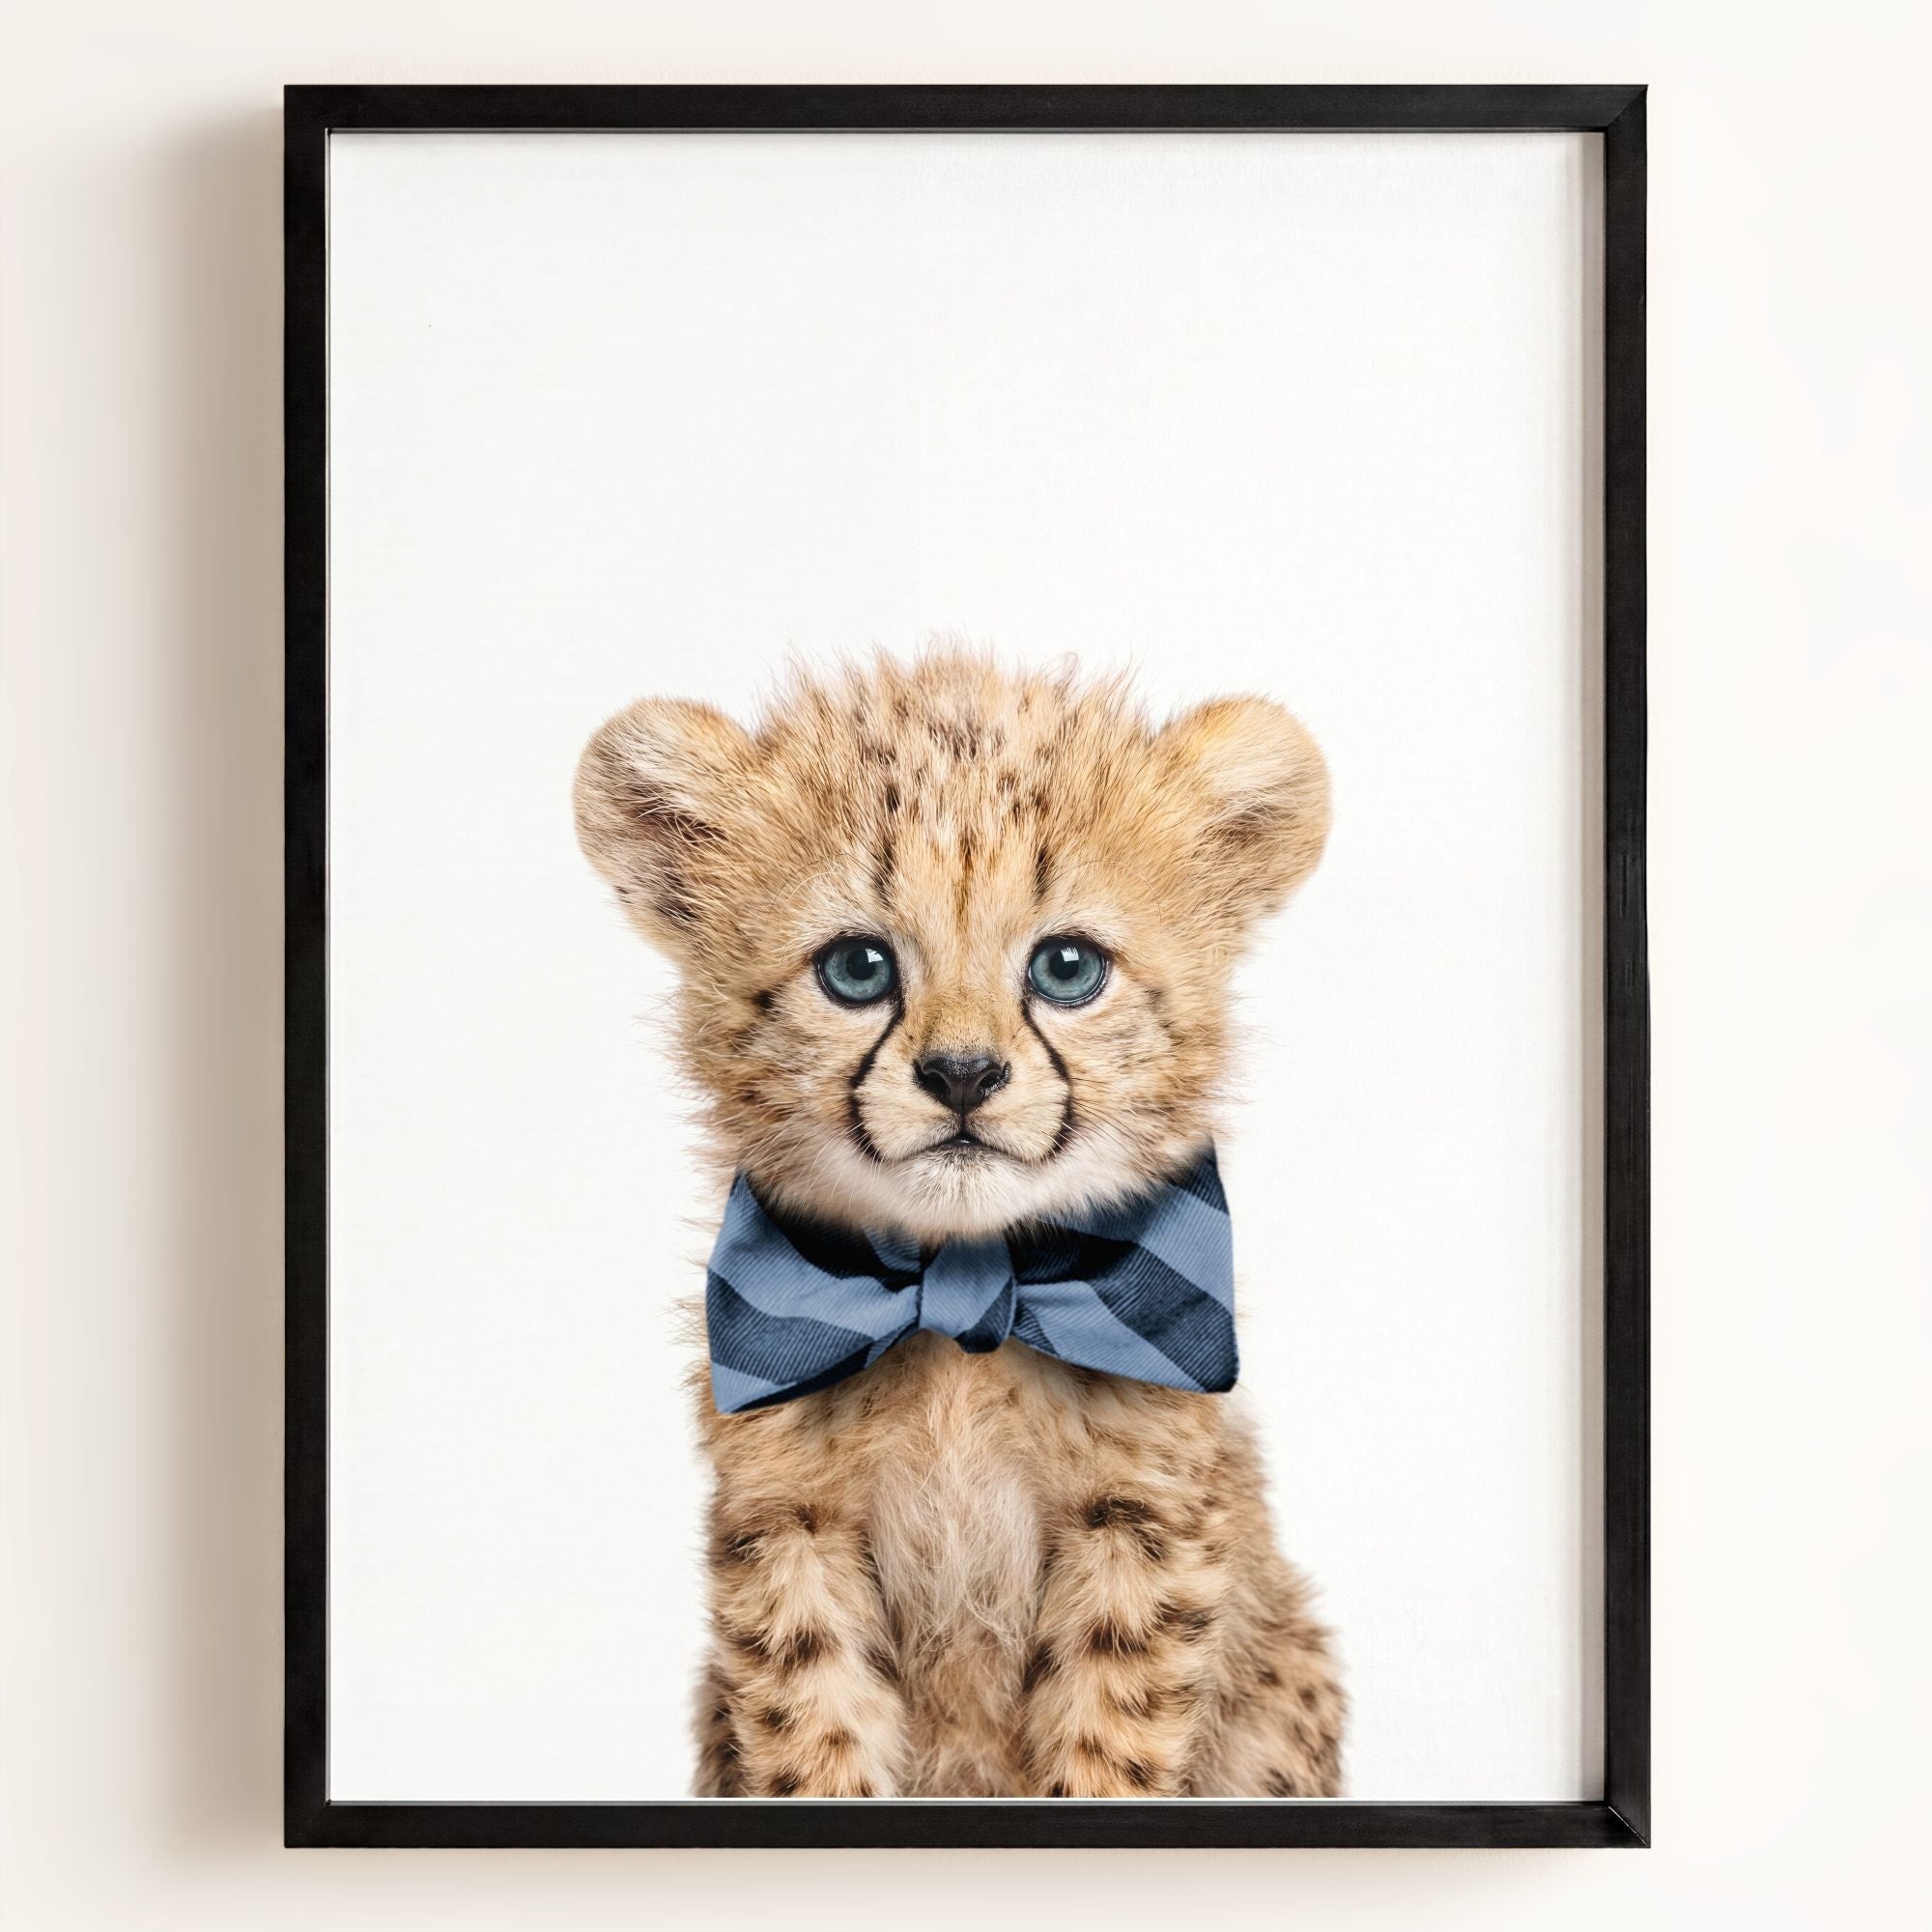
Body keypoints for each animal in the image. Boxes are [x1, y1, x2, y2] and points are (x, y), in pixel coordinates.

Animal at [574, 648, 1344, 1798]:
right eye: (857, 967)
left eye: (1067, 967)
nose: (963, 1074)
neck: (963, 1297)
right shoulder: (789, 1527)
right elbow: (814, 1737)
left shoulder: (1140, 1524)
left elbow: (1107, 1743)